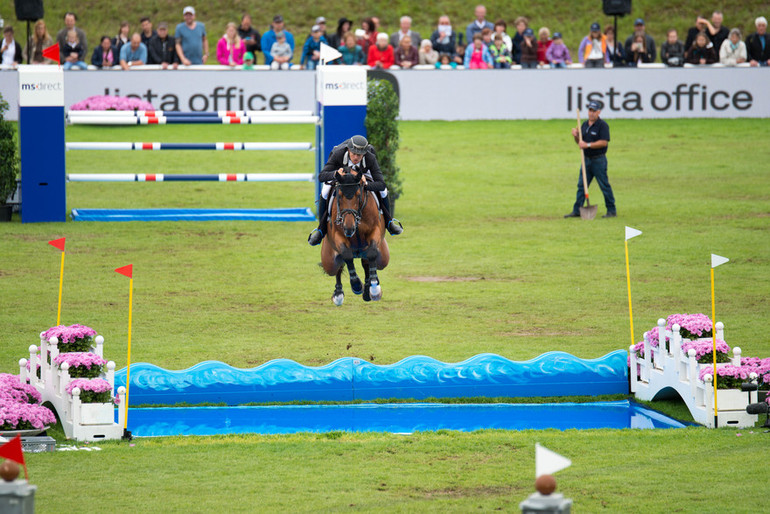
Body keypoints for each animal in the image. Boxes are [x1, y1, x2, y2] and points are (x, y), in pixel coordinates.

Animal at [320, 168, 390, 304]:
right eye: (339, 195)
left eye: (358, 195)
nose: (349, 228)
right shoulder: (338, 235)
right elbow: (347, 256)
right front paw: (356, 285)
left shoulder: (375, 231)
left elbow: (372, 253)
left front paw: (374, 288)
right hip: (329, 262)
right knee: (338, 267)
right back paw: (338, 294)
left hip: (383, 258)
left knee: (368, 262)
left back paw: (369, 289)